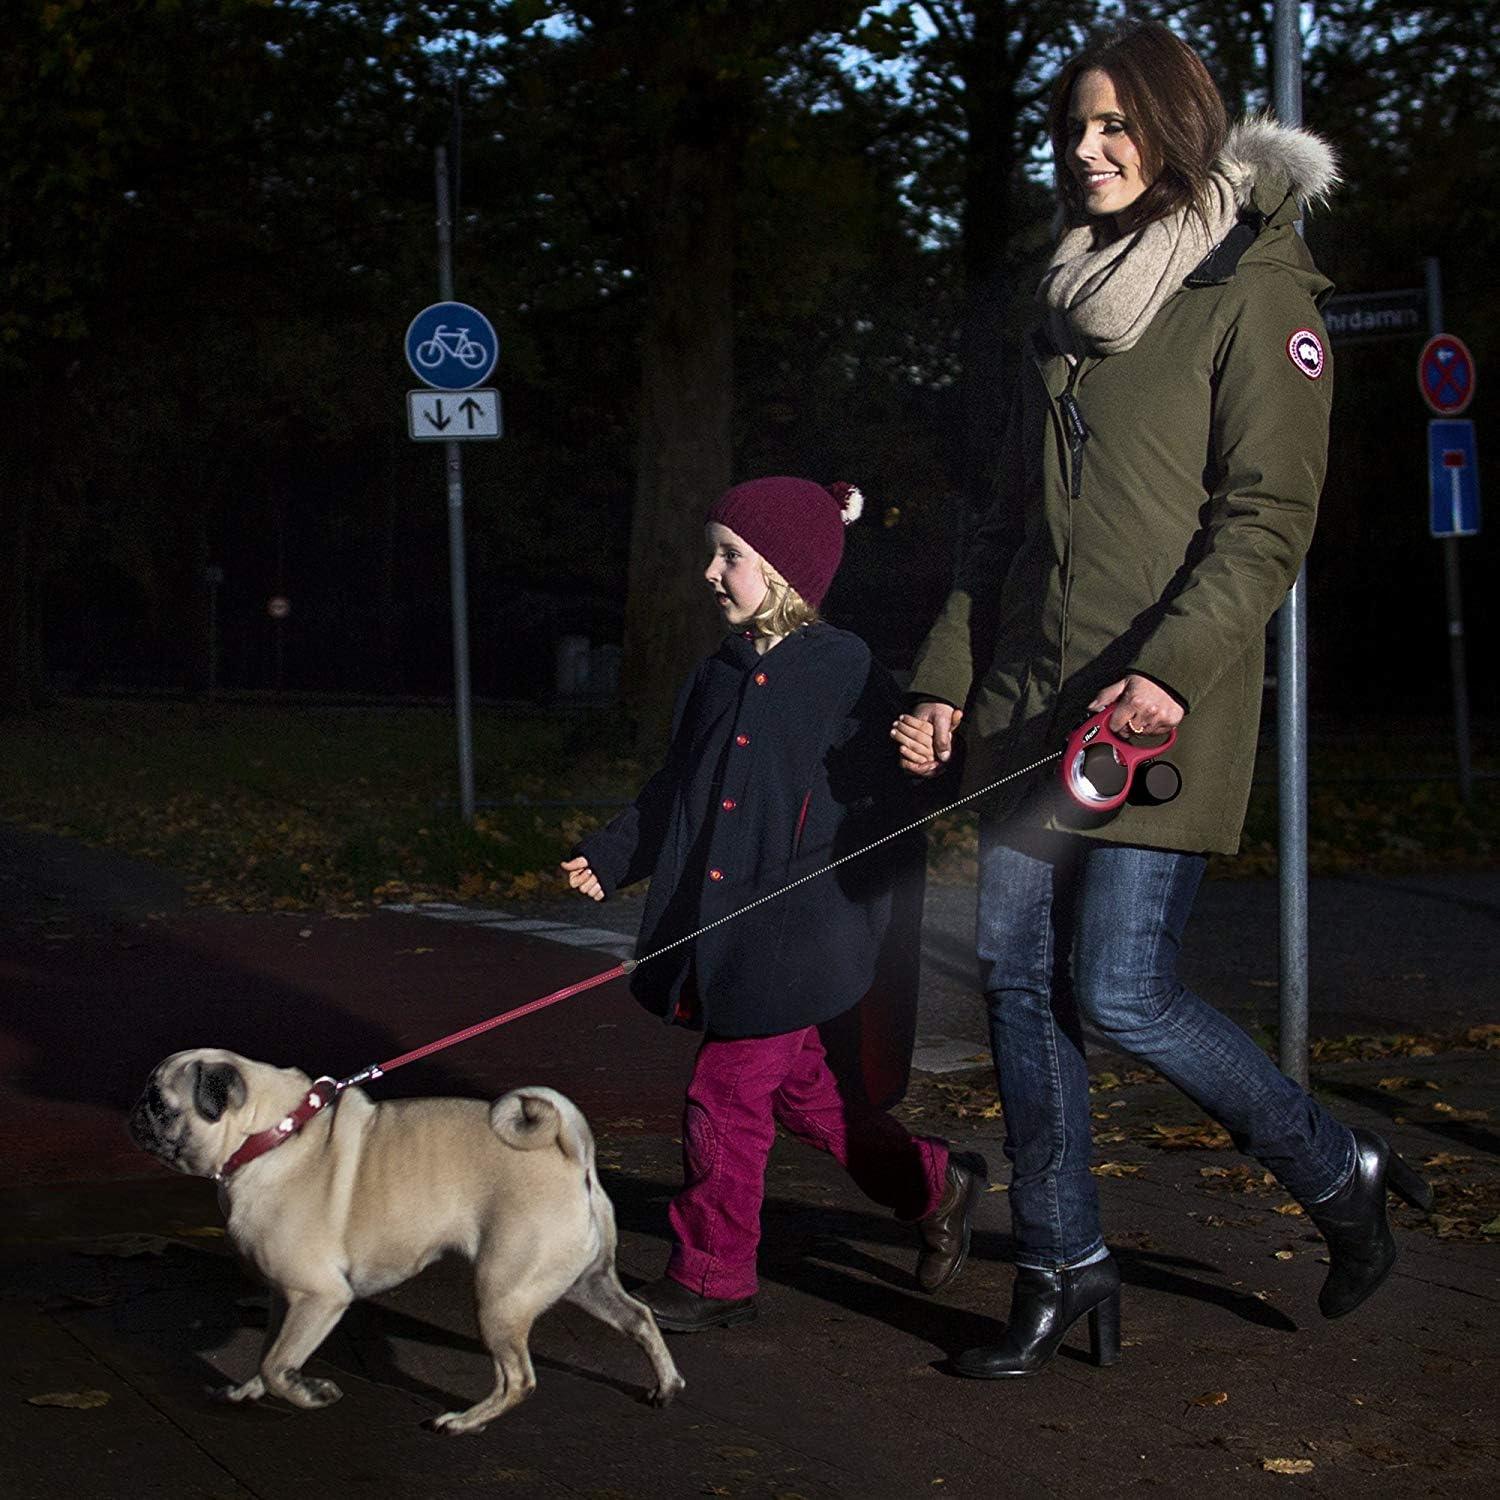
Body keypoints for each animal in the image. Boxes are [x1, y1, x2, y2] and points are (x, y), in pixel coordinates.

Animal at [132, 1050, 684, 1434]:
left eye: (160, 1104)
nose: (135, 1113)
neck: (270, 1132)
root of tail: (570, 1155)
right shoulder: (284, 1298)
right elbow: (270, 1352)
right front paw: (248, 1388)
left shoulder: (320, 1297)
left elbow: (277, 1364)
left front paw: (311, 1394)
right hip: (583, 1282)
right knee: (638, 1317)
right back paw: (666, 1384)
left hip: (500, 1296)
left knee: (518, 1379)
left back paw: (463, 1421)